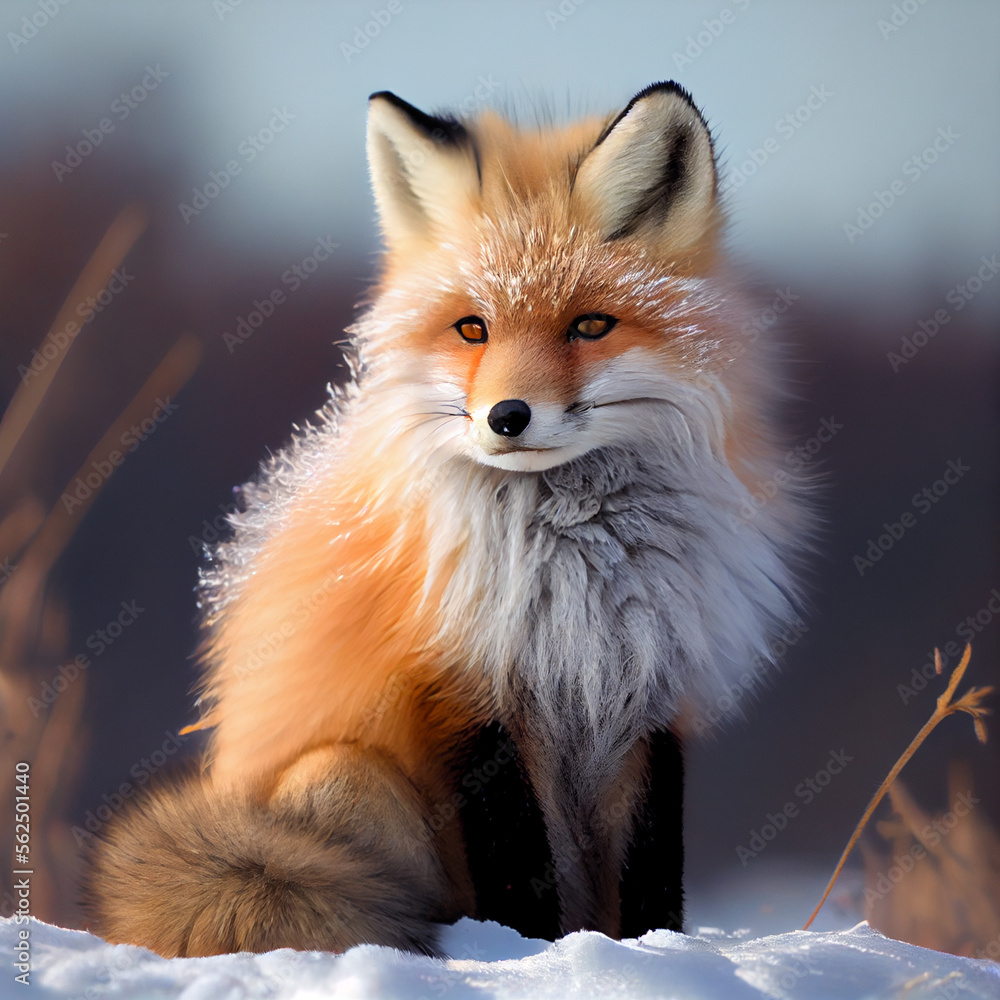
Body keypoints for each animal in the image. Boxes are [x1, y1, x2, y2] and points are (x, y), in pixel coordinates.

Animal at [83, 81, 806, 957]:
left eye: (589, 326)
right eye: (473, 329)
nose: (507, 417)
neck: (577, 572)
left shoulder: (651, 694)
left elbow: (651, 878)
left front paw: (647, 957)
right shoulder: (466, 690)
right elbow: (518, 864)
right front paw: (527, 958)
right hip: (343, 774)